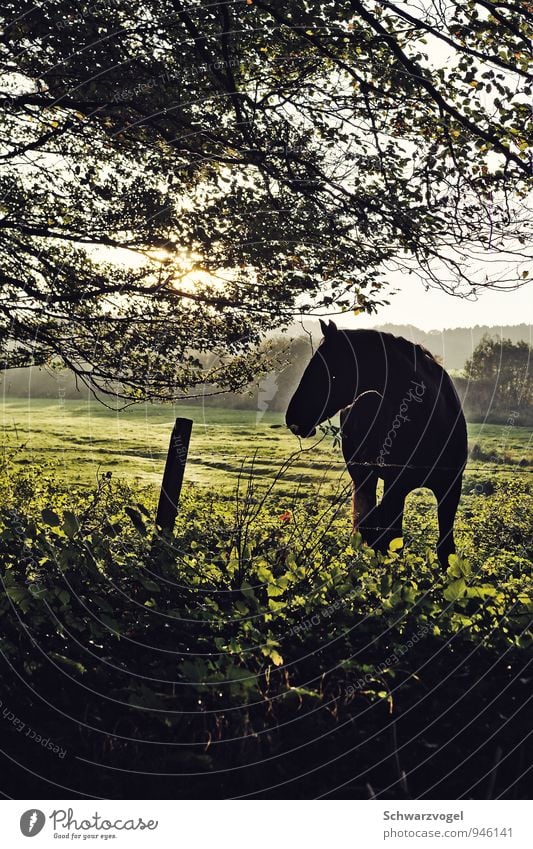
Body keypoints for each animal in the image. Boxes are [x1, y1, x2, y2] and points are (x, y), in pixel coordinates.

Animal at [286, 318, 466, 564]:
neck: (432, 418)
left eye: (329, 373)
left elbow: (445, 549)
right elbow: (394, 544)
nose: (292, 419)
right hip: (363, 475)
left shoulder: (450, 488)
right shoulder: (395, 488)